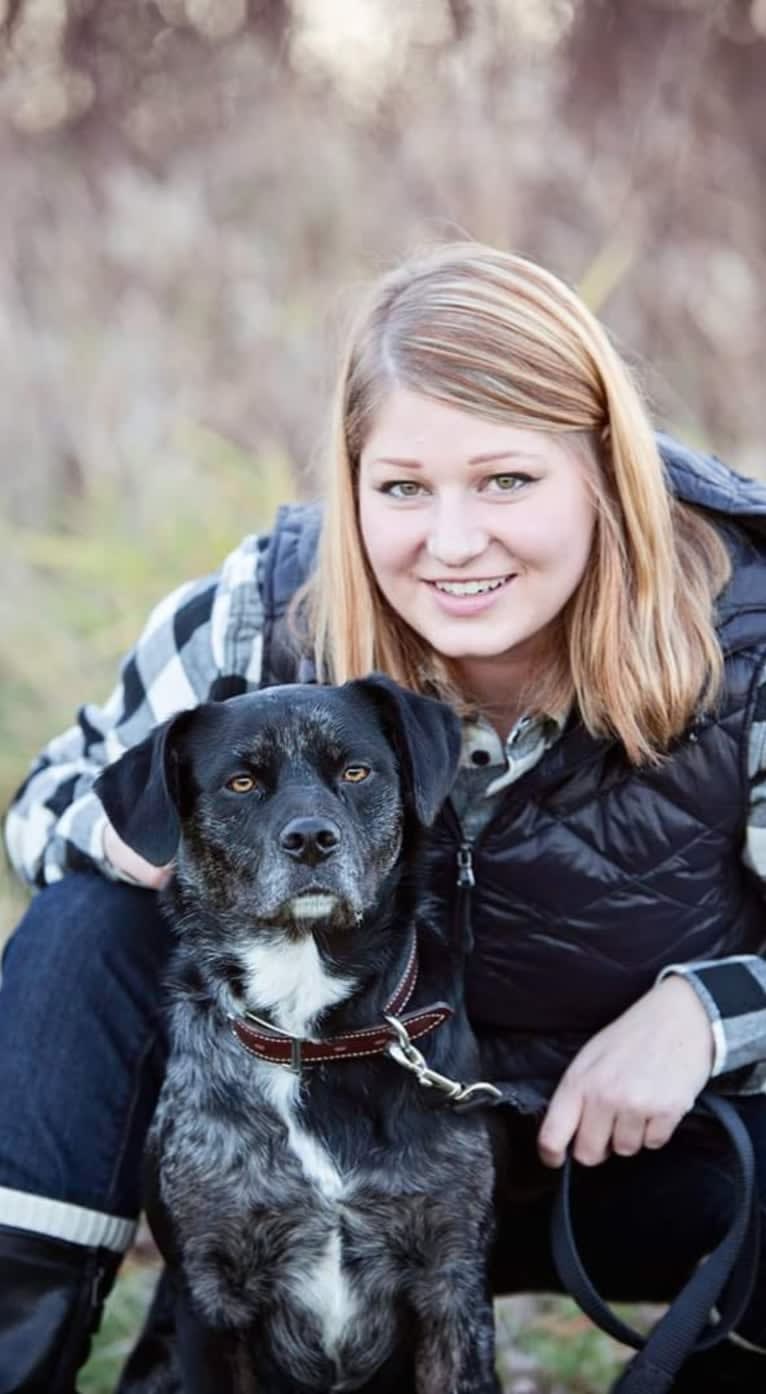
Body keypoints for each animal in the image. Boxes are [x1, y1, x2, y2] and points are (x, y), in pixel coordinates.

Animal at [95, 674, 499, 1394]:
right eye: (241, 783)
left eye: (356, 771)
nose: (311, 837)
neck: (311, 1036)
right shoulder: (210, 1298)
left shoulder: (452, 1285)